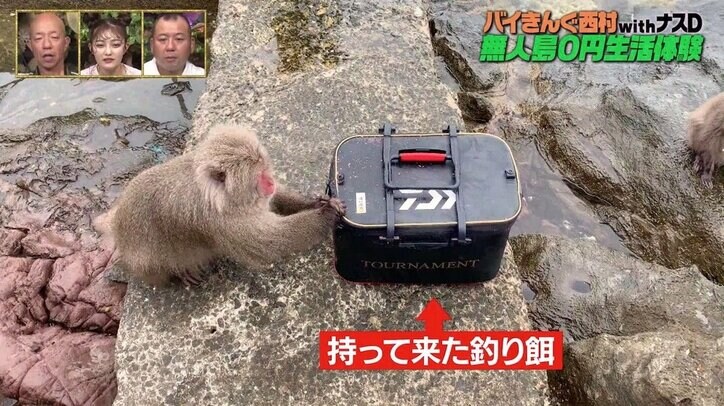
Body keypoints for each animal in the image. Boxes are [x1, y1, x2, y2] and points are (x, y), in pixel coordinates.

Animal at [93, 123, 346, 287]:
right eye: (260, 176)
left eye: (265, 169)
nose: (271, 182)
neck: (224, 197)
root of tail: (117, 221)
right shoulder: (221, 222)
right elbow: (270, 242)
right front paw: (327, 215)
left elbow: (275, 202)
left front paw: (318, 202)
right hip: (144, 261)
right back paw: (179, 272)